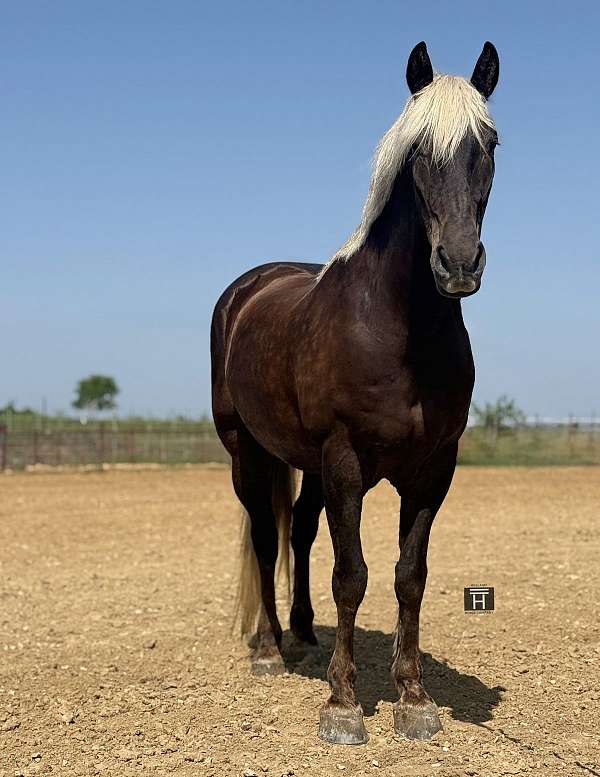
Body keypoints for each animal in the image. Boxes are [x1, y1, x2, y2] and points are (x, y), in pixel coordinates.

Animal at [211, 41, 500, 745]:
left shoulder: (434, 469)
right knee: (267, 537)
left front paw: (414, 698)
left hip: (308, 464)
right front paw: (343, 705)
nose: (458, 265)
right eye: (418, 151)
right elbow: (353, 576)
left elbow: (408, 576)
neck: (400, 331)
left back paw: (303, 634)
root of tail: (246, 290)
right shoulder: (345, 461)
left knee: (300, 531)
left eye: (489, 144)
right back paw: (269, 649)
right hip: (247, 451)